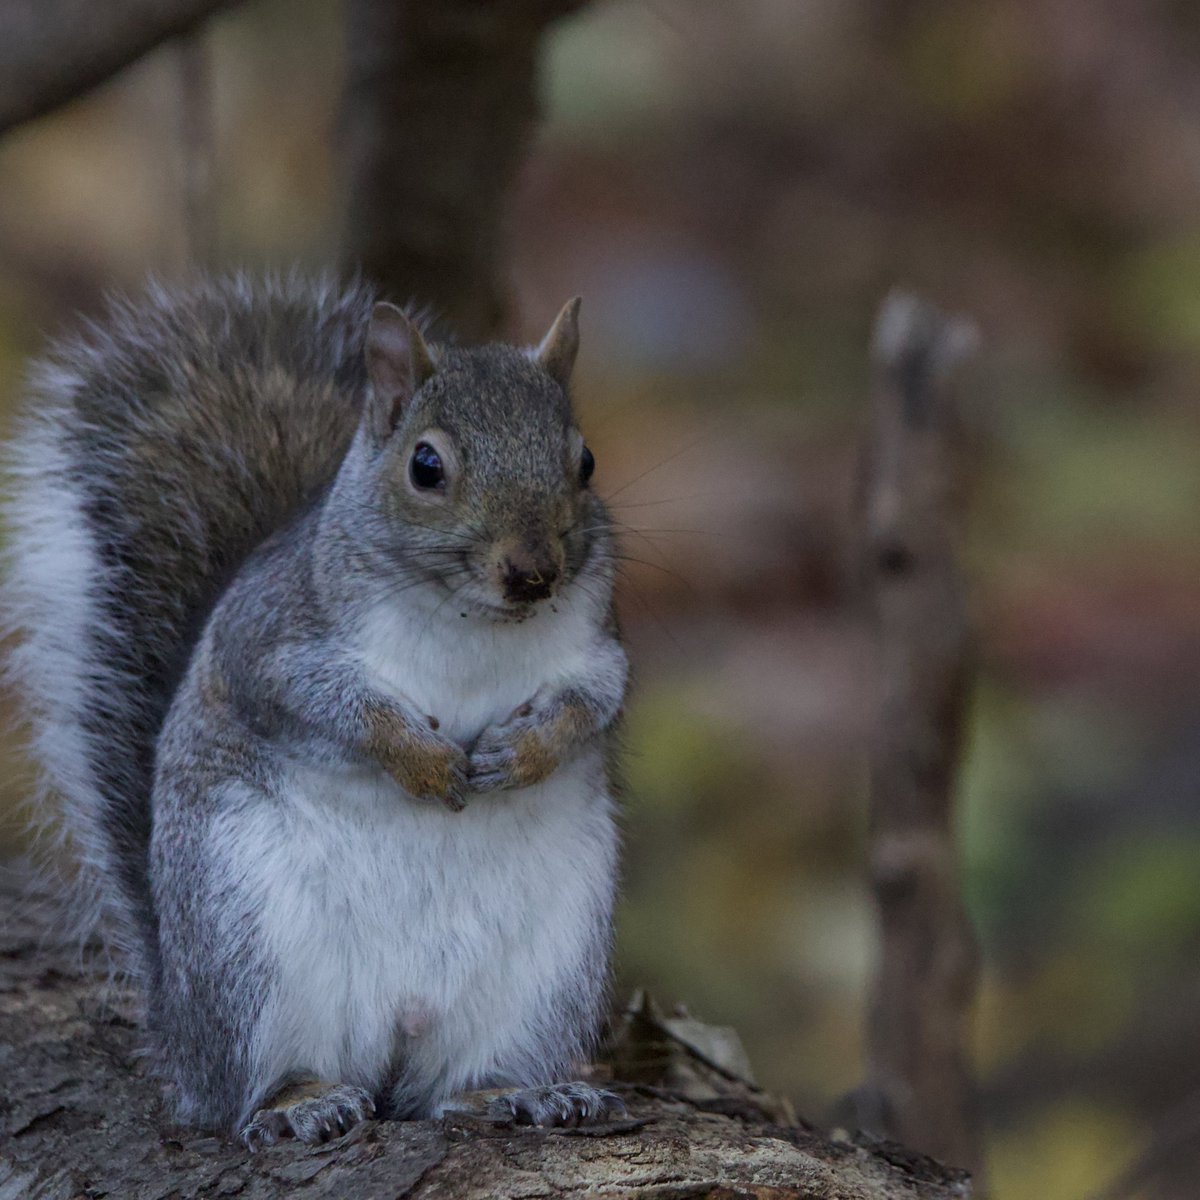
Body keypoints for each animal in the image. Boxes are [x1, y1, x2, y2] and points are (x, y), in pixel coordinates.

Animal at [4, 274, 628, 1147]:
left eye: (585, 462)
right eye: (426, 466)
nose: (533, 571)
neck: (474, 623)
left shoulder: (599, 647)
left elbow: (595, 704)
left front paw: (526, 752)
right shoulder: (271, 639)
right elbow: (329, 706)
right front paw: (423, 761)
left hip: (545, 974)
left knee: (446, 1089)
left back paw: (520, 1094)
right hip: (248, 948)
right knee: (250, 1090)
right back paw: (301, 1102)